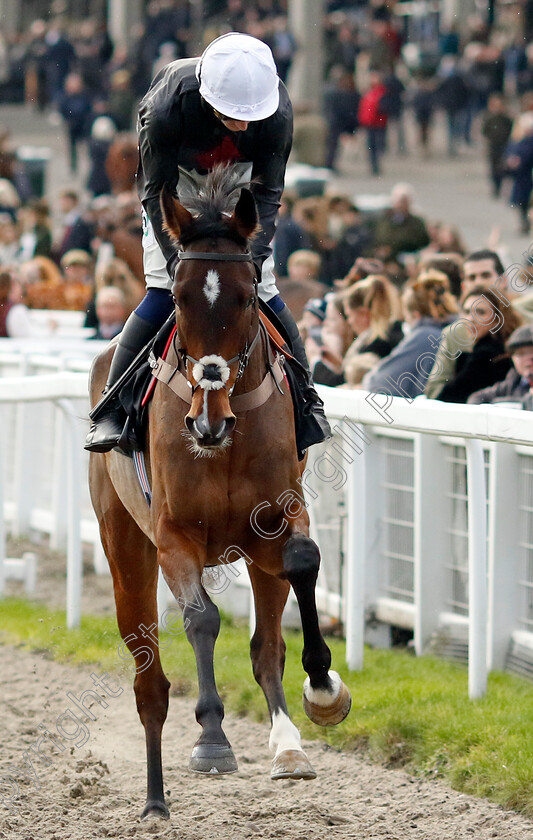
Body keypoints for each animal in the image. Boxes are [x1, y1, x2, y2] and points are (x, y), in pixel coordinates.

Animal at [89, 164, 352, 820]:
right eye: (180, 298)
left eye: (246, 296)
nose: (208, 422)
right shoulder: (174, 536)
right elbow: (202, 619)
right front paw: (211, 737)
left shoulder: (278, 518)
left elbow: (300, 568)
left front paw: (323, 690)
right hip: (125, 550)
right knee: (150, 670)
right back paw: (163, 785)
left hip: (253, 554)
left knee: (265, 644)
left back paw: (287, 744)